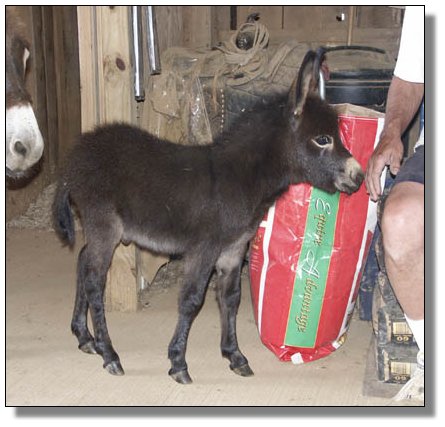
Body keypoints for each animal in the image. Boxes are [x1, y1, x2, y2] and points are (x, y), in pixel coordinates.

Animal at [52, 49, 364, 384]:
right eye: (322, 139)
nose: (359, 177)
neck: (241, 178)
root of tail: (74, 159)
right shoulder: (205, 248)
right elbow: (191, 300)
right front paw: (178, 362)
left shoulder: (233, 250)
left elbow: (231, 298)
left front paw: (235, 355)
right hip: (105, 224)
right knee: (95, 280)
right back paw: (109, 354)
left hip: (102, 228)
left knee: (83, 261)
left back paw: (85, 337)